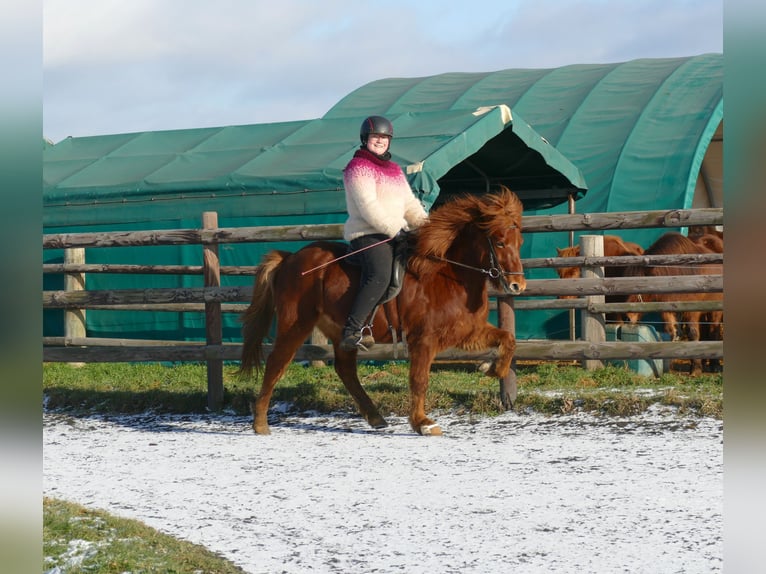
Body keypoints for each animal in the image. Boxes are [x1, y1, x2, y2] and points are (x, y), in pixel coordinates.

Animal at [239, 186, 526, 436]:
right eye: (500, 242)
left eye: (520, 241)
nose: (517, 285)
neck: (447, 274)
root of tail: (290, 258)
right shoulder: (424, 339)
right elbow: (419, 379)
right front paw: (422, 423)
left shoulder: (466, 331)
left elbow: (509, 340)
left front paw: (492, 369)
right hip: (296, 324)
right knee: (277, 362)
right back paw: (260, 423)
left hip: (338, 330)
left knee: (345, 370)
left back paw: (375, 417)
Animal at [622, 232, 723, 375]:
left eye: (639, 287)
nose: (627, 317)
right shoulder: (668, 310)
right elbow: (671, 332)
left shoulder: (692, 311)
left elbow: (693, 334)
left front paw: (695, 369)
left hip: (715, 310)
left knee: (714, 332)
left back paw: (714, 365)